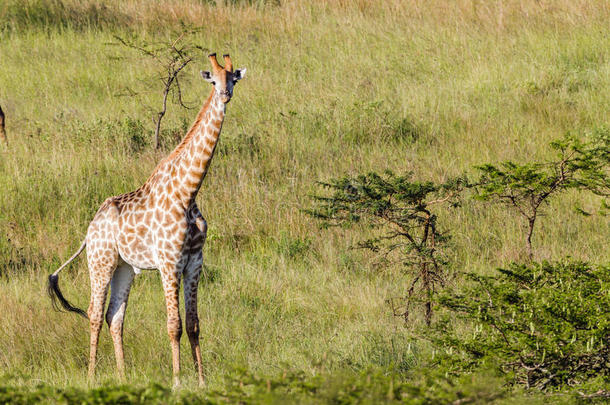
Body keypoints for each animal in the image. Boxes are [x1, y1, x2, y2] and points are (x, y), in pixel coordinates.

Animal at [46, 53, 245, 386]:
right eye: (213, 80)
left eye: (233, 79)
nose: (225, 95)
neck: (188, 191)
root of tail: (89, 229)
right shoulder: (169, 262)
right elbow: (174, 325)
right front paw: (177, 382)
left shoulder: (195, 261)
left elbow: (193, 323)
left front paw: (202, 381)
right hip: (100, 262)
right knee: (94, 313)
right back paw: (91, 377)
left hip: (125, 267)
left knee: (114, 316)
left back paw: (123, 376)